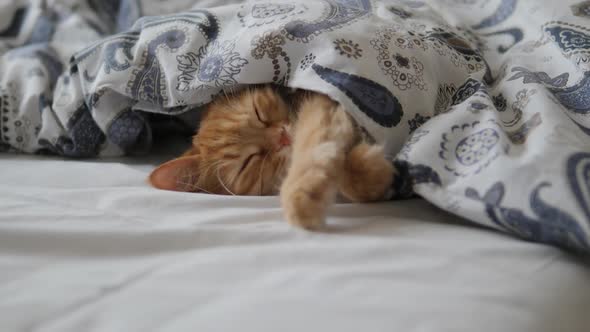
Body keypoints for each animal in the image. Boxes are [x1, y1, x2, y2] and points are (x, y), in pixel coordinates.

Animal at [150, 85, 396, 230]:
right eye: (249, 161)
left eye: (259, 113)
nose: (284, 137)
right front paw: (370, 172)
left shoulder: (320, 103)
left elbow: (313, 140)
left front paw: (302, 193)